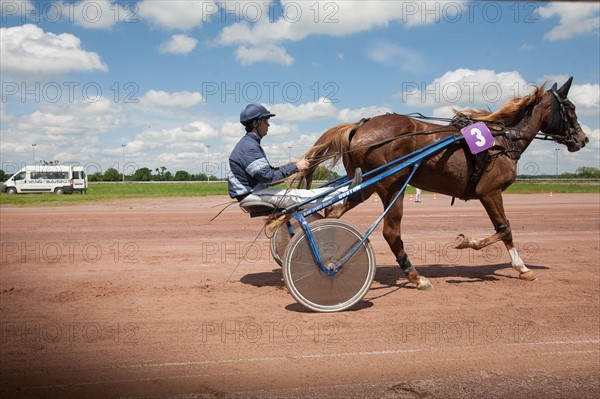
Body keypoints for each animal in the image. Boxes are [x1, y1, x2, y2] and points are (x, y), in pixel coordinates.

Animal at [298, 77, 588, 290]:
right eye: (571, 108)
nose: (583, 139)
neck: (502, 140)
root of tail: (359, 126)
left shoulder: (488, 193)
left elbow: (502, 229)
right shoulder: (490, 192)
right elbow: (505, 229)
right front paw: (519, 266)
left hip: (366, 186)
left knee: (333, 212)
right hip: (393, 186)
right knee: (391, 233)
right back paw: (415, 276)